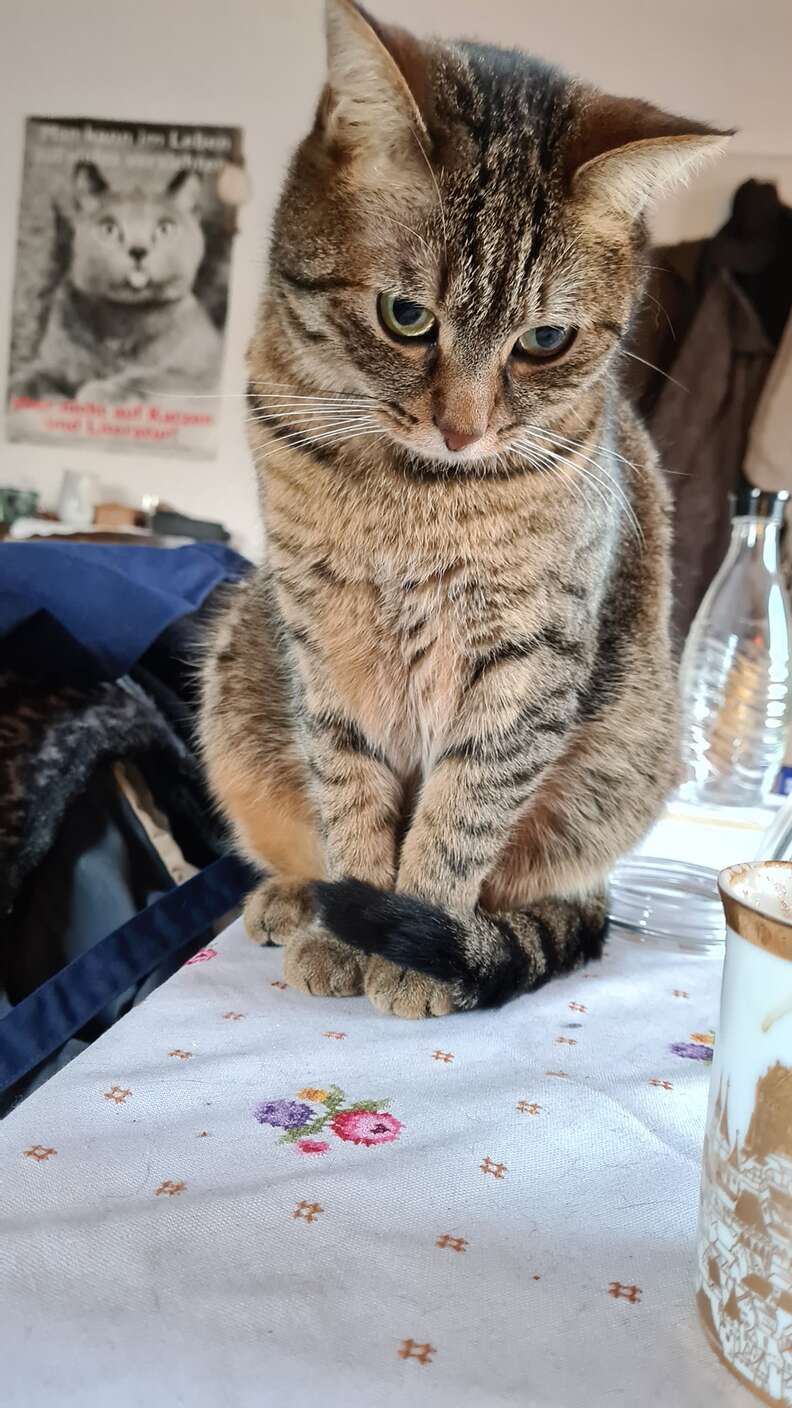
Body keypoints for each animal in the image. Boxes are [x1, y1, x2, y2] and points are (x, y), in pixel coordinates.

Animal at [198, 0, 727, 1013]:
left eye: (545, 340)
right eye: (407, 317)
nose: (463, 430)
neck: (414, 491)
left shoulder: (527, 655)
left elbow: (459, 818)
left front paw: (413, 945)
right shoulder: (322, 633)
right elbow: (350, 791)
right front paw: (346, 926)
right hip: (240, 656)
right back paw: (293, 898)